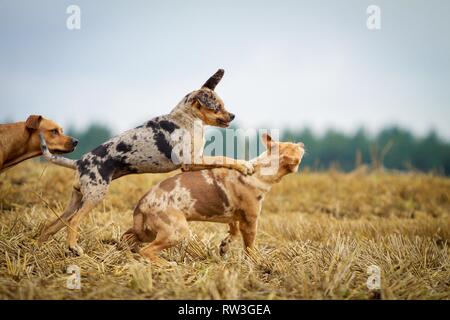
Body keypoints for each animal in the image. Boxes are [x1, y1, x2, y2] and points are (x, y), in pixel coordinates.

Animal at [38, 70, 253, 255]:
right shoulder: (191, 161)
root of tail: (79, 163)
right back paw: (74, 248)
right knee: (73, 222)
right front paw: (245, 166)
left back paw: (39, 247)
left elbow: (221, 160)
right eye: (217, 106)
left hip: (77, 200)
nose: (232, 115)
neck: (186, 119)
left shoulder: (196, 160)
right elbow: (223, 158)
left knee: (53, 226)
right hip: (94, 196)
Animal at [121, 134, 304, 264]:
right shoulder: (250, 221)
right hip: (176, 231)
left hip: (147, 232)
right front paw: (258, 261)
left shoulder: (233, 217)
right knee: (147, 251)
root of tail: (141, 204)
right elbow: (249, 246)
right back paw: (167, 265)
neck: (260, 169)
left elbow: (233, 232)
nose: (302, 144)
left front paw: (224, 246)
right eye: (295, 147)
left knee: (129, 238)